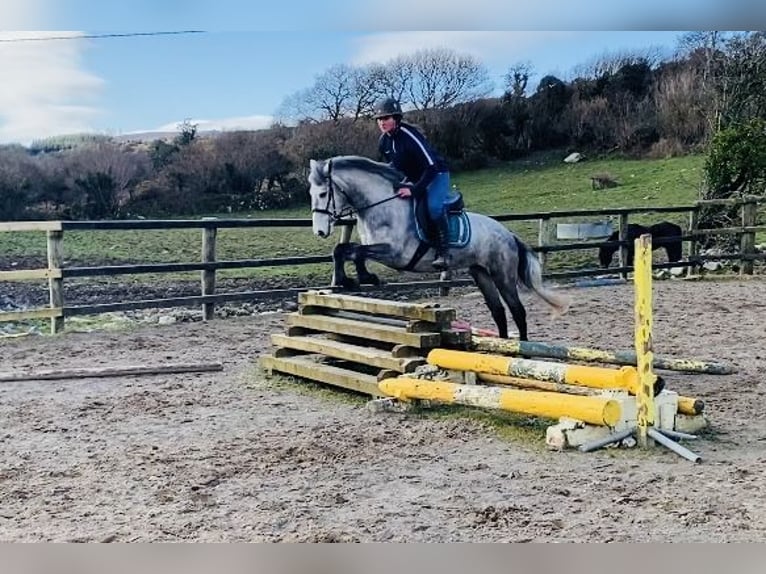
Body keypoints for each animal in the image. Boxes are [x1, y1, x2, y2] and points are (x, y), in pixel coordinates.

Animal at [308, 155, 568, 340]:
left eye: (323, 193)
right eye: (311, 193)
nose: (319, 232)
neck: (382, 206)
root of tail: (509, 235)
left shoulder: (395, 253)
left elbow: (354, 251)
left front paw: (362, 277)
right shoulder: (378, 248)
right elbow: (344, 250)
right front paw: (351, 280)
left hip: (502, 274)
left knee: (517, 311)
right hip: (481, 274)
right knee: (498, 311)